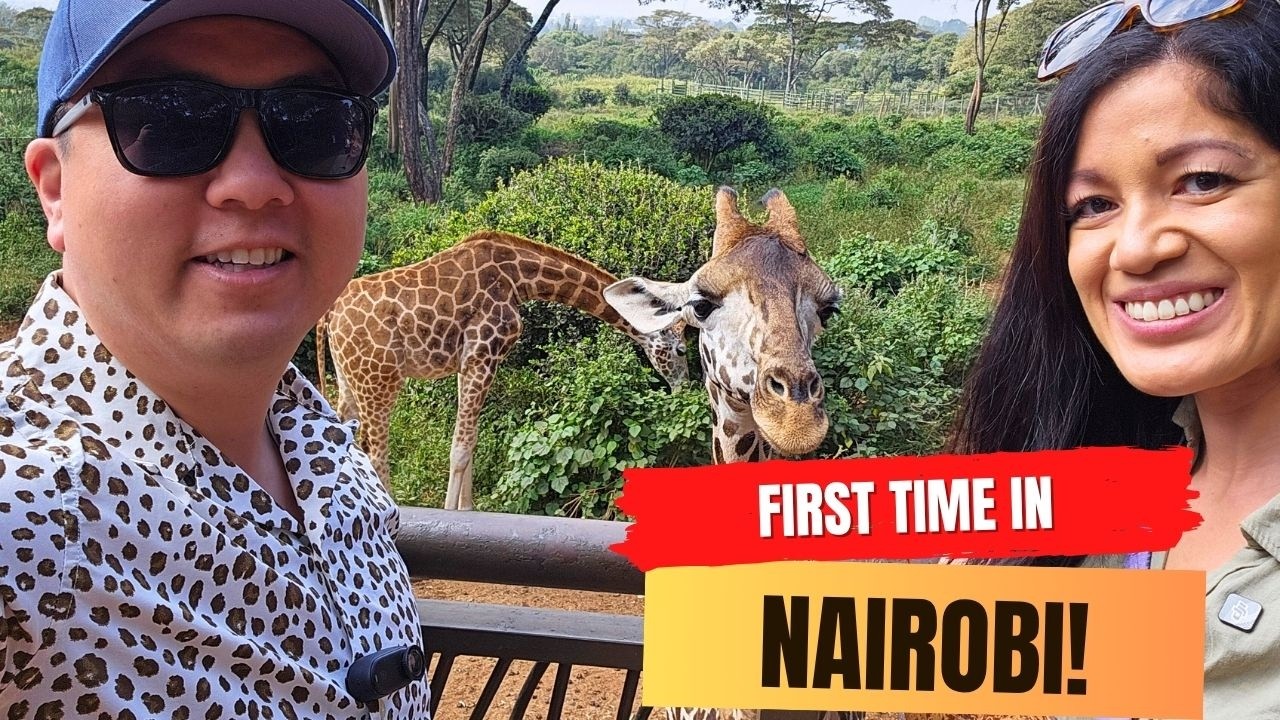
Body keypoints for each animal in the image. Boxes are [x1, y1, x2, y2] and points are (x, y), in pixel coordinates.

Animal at [315, 230, 689, 510]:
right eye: (681, 349)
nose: (684, 388)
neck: (520, 279)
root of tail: (331, 314)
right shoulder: (483, 353)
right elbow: (461, 447)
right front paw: (451, 514)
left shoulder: (470, 361)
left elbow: (470, 441)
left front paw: (466, 510)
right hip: (380, 377)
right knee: (375, 451)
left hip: (349, 377)